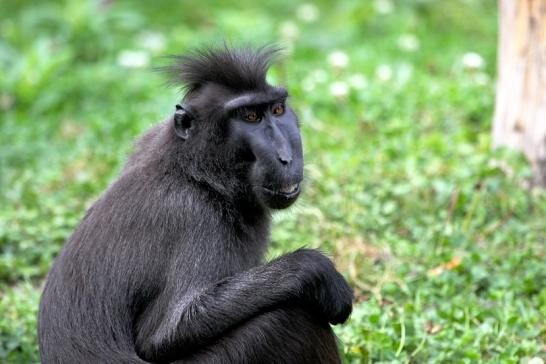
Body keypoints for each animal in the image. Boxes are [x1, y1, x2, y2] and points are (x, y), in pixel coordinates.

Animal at [39, 47, 352, 362]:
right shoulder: (196, 216)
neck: (196, 171)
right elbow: (167, 330)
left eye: (277, 110)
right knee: (288, 319)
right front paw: (316, 270)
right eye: (250, 116)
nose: (286, 157)